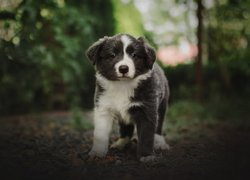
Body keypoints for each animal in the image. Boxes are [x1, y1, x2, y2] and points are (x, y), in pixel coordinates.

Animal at [86, 33, 170, 162]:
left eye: (134, 55)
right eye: (112, 55)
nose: (123, 68)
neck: (123, 85)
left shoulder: (147, 109)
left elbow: (146, 135)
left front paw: (146, 156)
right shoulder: (103, 107)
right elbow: (100, 133)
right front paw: (97, 152)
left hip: (162, 105)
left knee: (159, 126)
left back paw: (160, 143)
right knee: (126, 128)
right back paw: (121, 143)